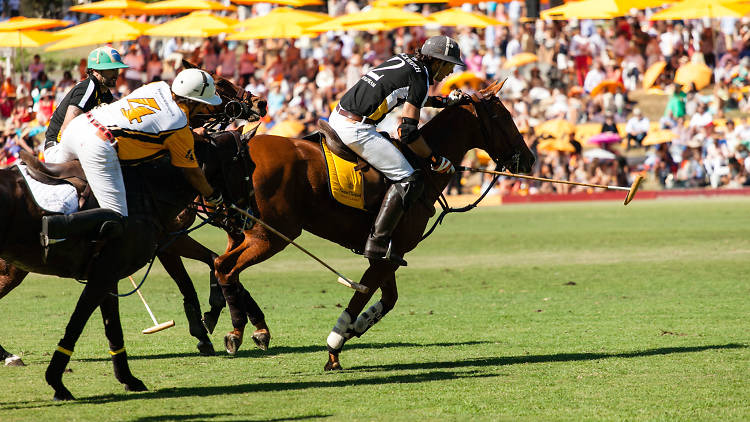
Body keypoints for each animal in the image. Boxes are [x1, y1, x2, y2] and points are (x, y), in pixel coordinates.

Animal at [214, 80, 536, 370]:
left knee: (220, 264)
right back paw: (239, 332)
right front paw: (334, 348)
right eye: (503, 117)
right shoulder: (389, 252)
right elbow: (363, 294)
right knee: (226, 267)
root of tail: (239, 148)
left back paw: (249, 330)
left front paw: (354, 329)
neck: (421, 164)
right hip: (272, 235)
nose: (530, 160)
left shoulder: (388, 252)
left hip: (241, 231)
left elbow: (388, 298)